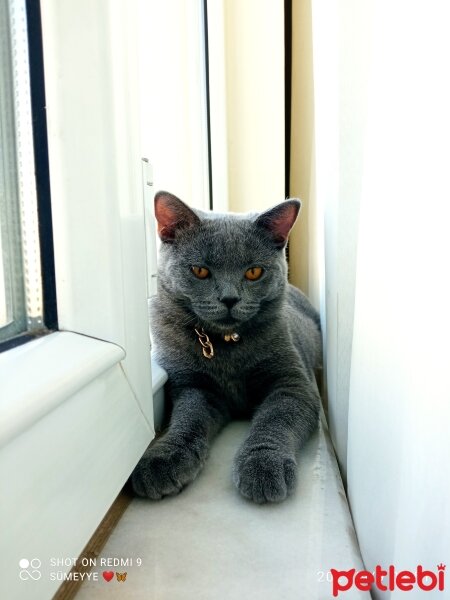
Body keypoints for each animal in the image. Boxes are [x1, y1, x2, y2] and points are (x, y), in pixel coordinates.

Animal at [132, 192, 322, 502]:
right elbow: (188, 418)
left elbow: (276, 418)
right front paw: (164, 458)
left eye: (254, 272)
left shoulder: (293, 384)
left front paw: (262, 464)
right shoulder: (193, 385)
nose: (230, 299)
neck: (226, 347)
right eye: (200, 270)